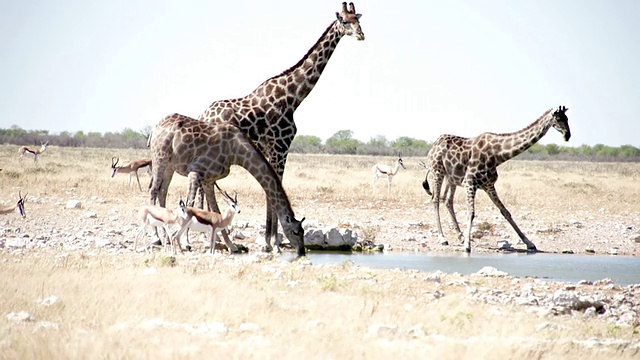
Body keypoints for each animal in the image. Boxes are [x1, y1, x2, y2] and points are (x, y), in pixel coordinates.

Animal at [149, 112, 306, 256]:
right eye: (295, 232)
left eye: (303, 231)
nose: (302, 251)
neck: (235, 150)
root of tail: (154, 128)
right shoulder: (195, 172)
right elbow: (189, 204)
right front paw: (186, 242)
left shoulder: (208, 179)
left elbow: (216, 211)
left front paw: (232, 246)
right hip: (159, 157)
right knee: (153, 190)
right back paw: (157, 238)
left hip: (170, 165)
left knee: (163, 191)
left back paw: (166, 235)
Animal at [195, 2, 364, 250]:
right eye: (344, 21)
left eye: (358, 20)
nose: (361, 35)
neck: (292, 98)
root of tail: (203, 115)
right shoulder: (279, 147)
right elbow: (274, 187)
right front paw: (272, 242)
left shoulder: (274, 150)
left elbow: (272, 187)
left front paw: (272, 240)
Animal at [424, 106, 568, 253]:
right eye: (558, 118)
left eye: (567, 119)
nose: (567, 135)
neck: (497, 155)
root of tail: (433, 146)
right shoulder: (469, 182)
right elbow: (471, 212)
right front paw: (467, 246)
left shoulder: (488, 185)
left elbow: (505, 212)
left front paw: (529, 243)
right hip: (437, 171)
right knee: (435, 199)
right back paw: (442, 238)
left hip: (452, 178)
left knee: (447, 200)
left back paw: (460, 236)